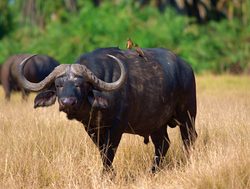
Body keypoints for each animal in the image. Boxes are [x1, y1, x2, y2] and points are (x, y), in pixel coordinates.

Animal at [17, 47, 197, 173]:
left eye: (80, 85)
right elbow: (102, 150)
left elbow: (109, 152)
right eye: (58, 85)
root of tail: (186, 67)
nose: (67, 102)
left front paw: (107, 175)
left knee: (189, 138)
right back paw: (153, 171)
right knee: (163, 144)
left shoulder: (116, 128)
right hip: (157, 124)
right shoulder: (91, 129)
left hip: (187, 115)